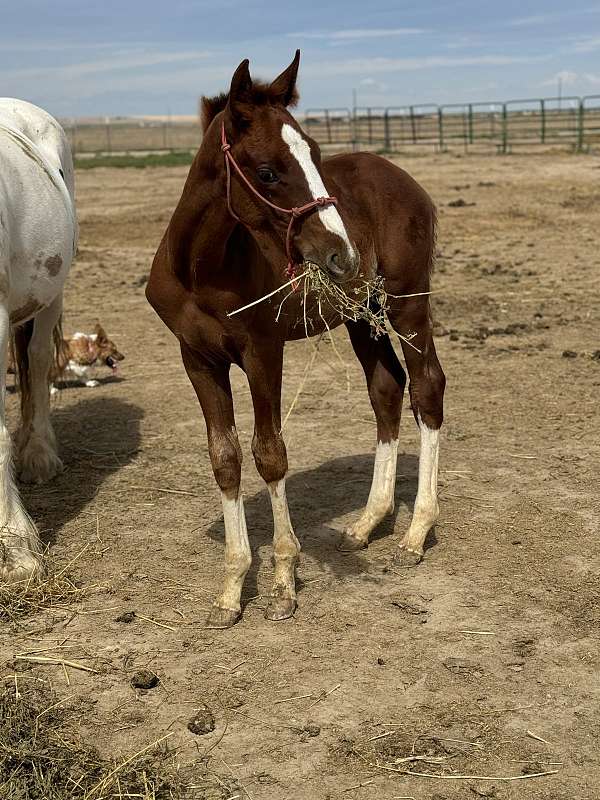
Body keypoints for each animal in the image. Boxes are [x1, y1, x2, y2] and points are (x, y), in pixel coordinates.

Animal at [146, 51, 446, 632]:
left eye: (316, 155)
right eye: (267, 172)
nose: (342, 254)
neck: (202, 268)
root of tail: (407, 180)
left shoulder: (263, 351)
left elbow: (270, 454)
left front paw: (284, 580)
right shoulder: (197, 358)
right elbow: (225, 458)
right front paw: (231, 589)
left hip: (407, 303)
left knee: (427, 387)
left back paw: (417, 532)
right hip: (361, 315)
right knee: (386, 390)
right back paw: (368, 522)